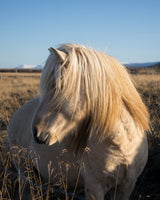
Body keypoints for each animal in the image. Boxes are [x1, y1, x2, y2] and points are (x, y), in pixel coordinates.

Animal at [7, 43, 149, 199]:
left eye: (58, 86)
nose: (36, 132)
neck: (123, 145)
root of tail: (15, 115)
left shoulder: (127, 186)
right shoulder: (95, 188)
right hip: (23, 171)